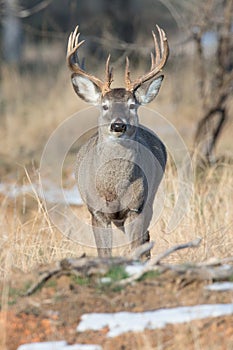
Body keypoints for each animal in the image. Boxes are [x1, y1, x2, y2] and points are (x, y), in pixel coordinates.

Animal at [66, 24, 168, 258]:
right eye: (105, 106)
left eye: (132, 105)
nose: (118, 126)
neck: (112, 190)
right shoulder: (96, 212)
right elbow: (104, 253)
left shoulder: (135, 208)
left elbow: (135, 247)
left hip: (150, 198)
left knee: (145, 239)